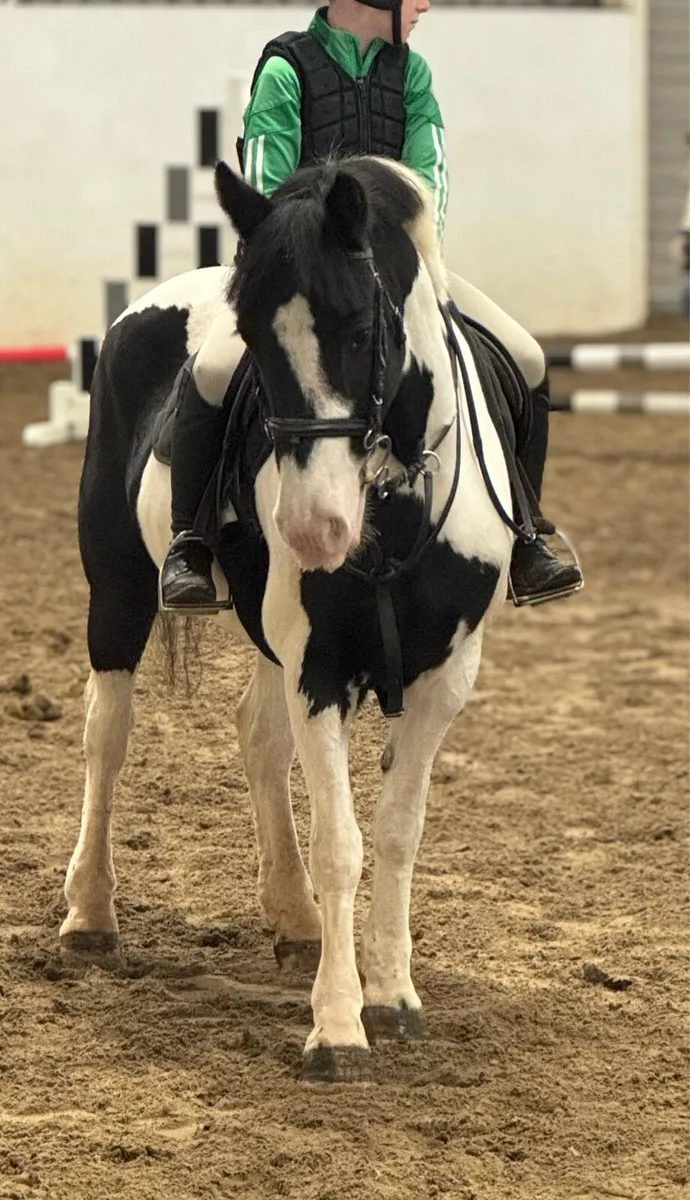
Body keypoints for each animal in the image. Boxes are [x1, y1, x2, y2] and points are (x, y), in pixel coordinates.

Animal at [62, 155, 515, 1083]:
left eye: (359, 327)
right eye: (254, 337)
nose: (315, 531)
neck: (394, 511)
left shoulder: (442, 677)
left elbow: (398, 832)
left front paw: (394, 993)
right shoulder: (320, 667)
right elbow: (344, 840)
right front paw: (338, 1027)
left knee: (256, 736)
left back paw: (295, 918)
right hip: (118, 589)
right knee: (107, 734)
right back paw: (89, 913)